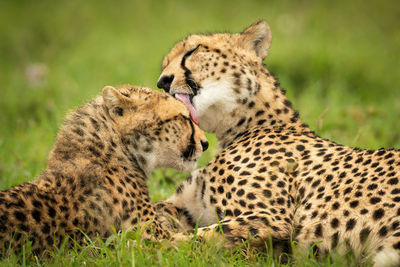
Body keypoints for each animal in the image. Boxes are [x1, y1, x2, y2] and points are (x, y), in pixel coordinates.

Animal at [155, 19, 400, 266]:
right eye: (164, 65)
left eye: (193, 50)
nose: (162, 82)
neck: (247, 124)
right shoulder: (188, 207)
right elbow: (157, 210)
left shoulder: (271, 219)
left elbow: (193, 239)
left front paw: (154, 244)